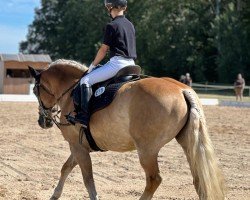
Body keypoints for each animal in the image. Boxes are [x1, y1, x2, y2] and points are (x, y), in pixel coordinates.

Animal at [28, 59, 225, 200]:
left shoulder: (77, 147)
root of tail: (181, 89)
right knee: (199, 179)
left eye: (36, 91)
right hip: (187, 143)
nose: (43, 121)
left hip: (147, 150)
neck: (72, 92)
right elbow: (66, 168)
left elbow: (88, 179)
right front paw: (54, 195)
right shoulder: (80, 146)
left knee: (153, 180)